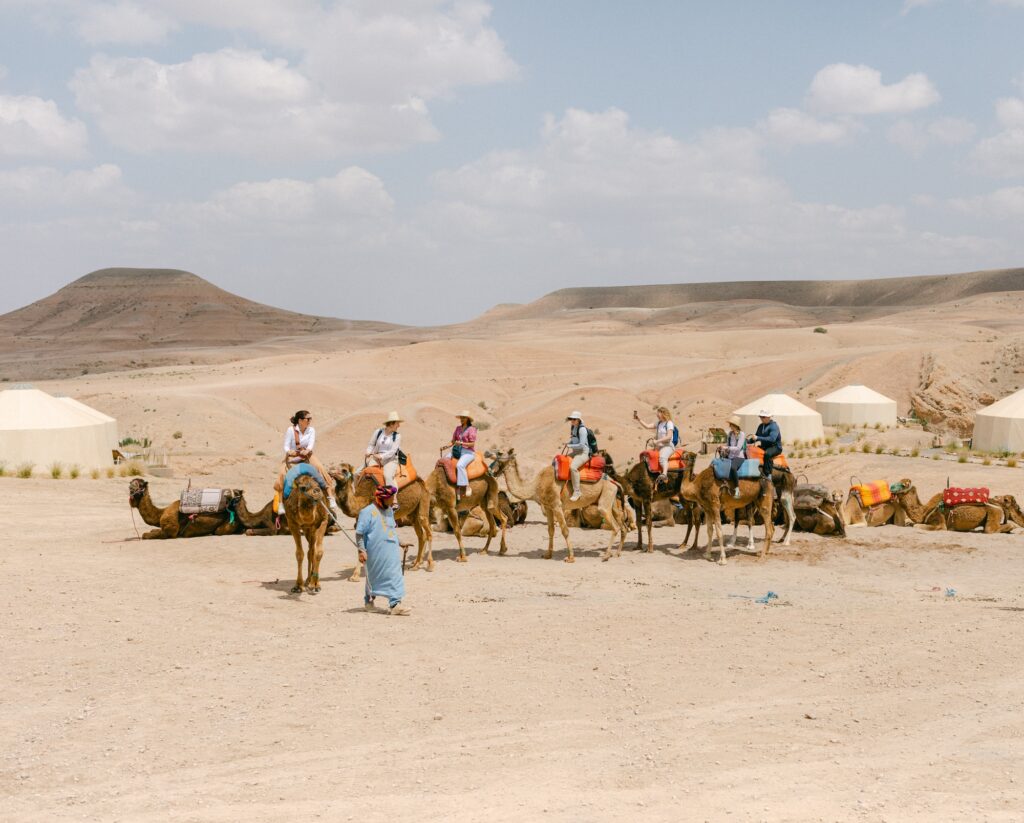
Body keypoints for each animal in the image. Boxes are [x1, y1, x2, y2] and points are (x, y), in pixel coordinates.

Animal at [485, 446, 626, 560]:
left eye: (500, 452)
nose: (486, 452)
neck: (535, 486)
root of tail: (614, 482)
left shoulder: (557, 505)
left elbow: (565, 530)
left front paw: (570, 557)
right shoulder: (548, 507)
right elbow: (550, 530)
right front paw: (548, 554)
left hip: (605, 500)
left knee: (615, 527)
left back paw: (606, 556)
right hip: (613, 500)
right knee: (623, 526)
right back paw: (617, 553)